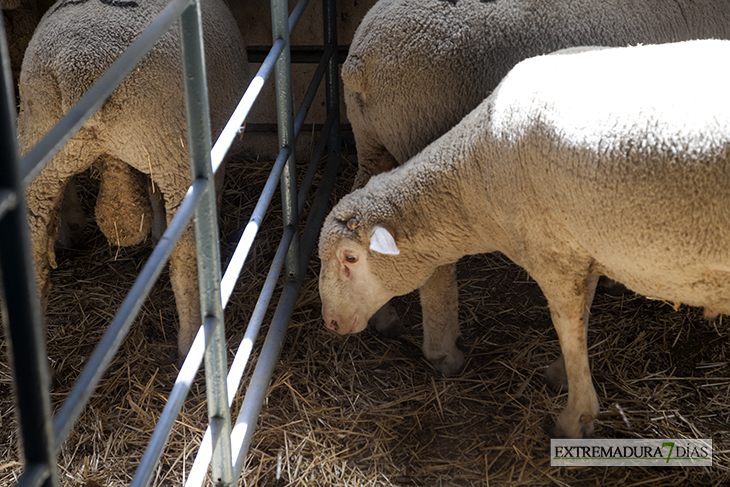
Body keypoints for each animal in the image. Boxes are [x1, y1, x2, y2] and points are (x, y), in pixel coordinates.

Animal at [19, 0, 249, 358]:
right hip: (175, 153)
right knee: (186, 258)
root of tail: (78, 71)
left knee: (33, 259)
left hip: (41, 156)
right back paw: (192, 339)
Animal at [318, 41, 728, 438]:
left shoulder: (552, 253)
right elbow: (584, 312)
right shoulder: (578, 245)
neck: (478, 179)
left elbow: (568, 325)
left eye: (350, 258)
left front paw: (575, 416)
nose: (331, 324)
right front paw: (565, 376)